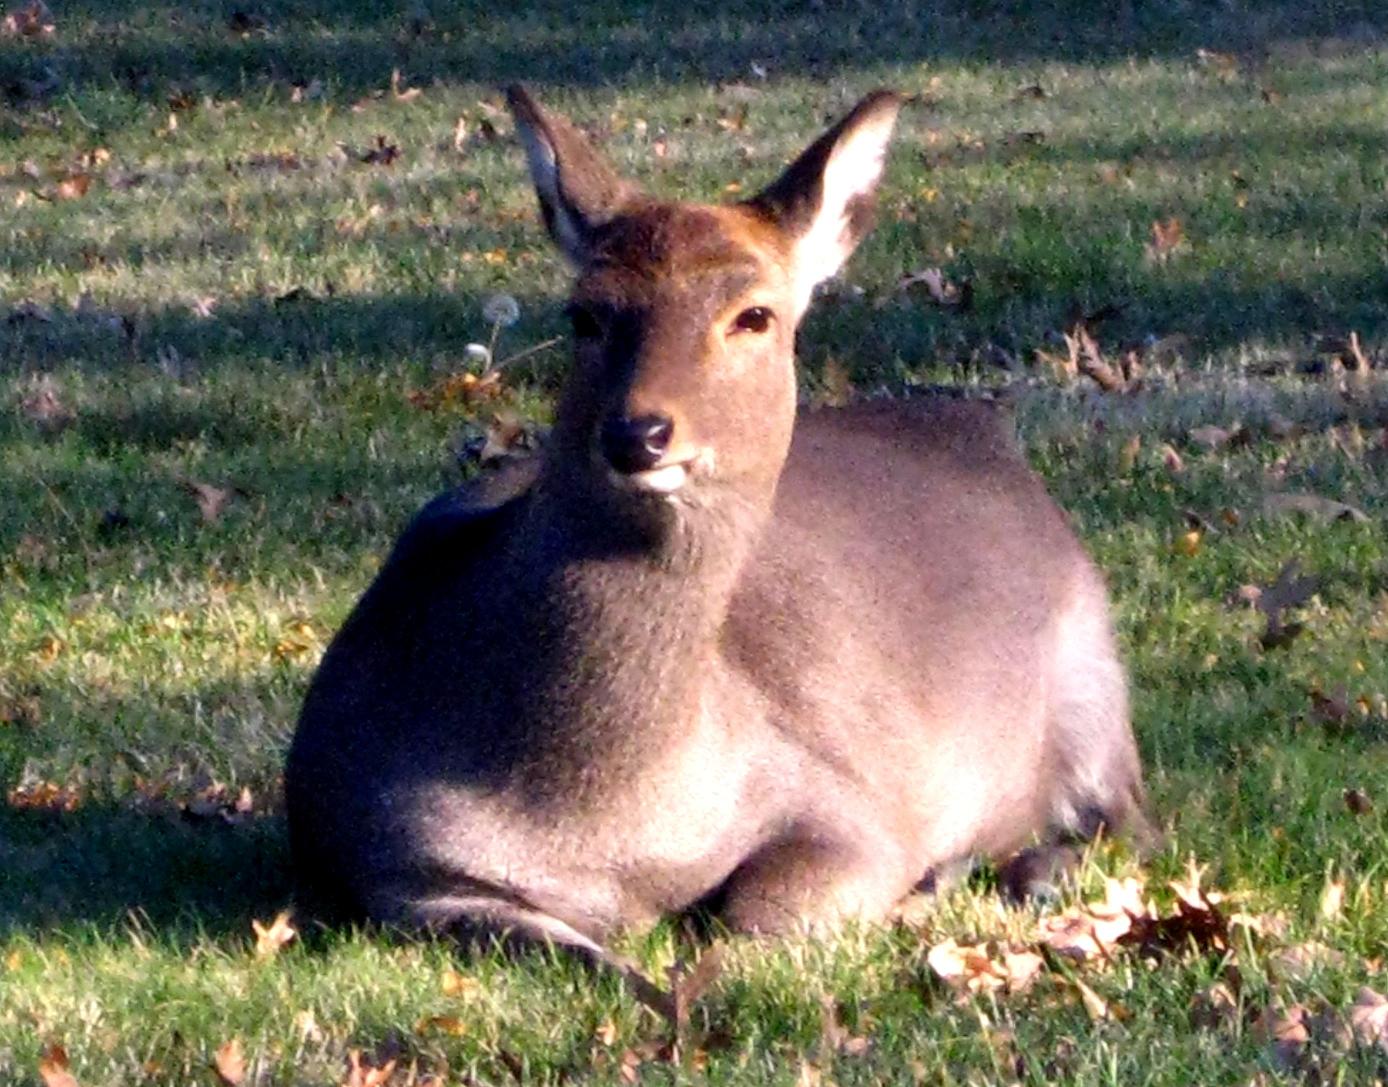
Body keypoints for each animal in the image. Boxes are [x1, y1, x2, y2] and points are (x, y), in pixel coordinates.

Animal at [284, 85, 1149, 955]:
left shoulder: (855, 797)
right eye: (584, 314)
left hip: (1094, 682)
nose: (638, 432)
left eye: (754, 314)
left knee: (1134, 821)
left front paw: (923, 884)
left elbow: (764, 911)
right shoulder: (387, 860)